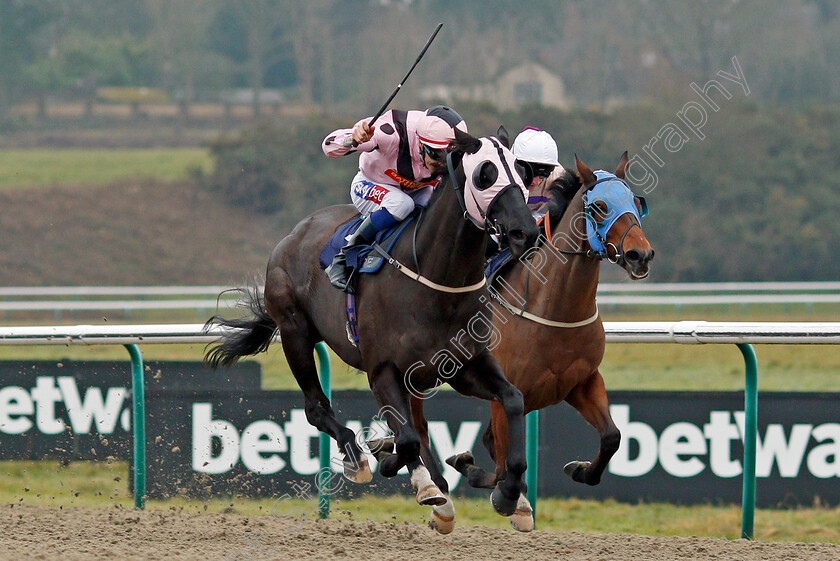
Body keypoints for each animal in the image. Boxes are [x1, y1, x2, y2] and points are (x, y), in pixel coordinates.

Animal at [207, 129, 540, 528]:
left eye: (521, 172)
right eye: (485, 174)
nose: (526, 232)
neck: (435, 279)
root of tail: (294, 233)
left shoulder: (463, 365)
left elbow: (513, 399)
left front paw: (511, 496)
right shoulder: (382, 370)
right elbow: (408, 439)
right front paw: (421, 483)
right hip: (294, 332)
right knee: (317, 409)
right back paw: (358, 457)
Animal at [376, 151, 656, 532]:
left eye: (637, 204)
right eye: (599, 206)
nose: (640, 255)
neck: (552, 308)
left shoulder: (580, 383)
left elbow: (612, 437)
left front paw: (580, 470)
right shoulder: (505, 391)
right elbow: (499, 465)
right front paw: (491, 484)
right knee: (418, 429)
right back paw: (431, 487)